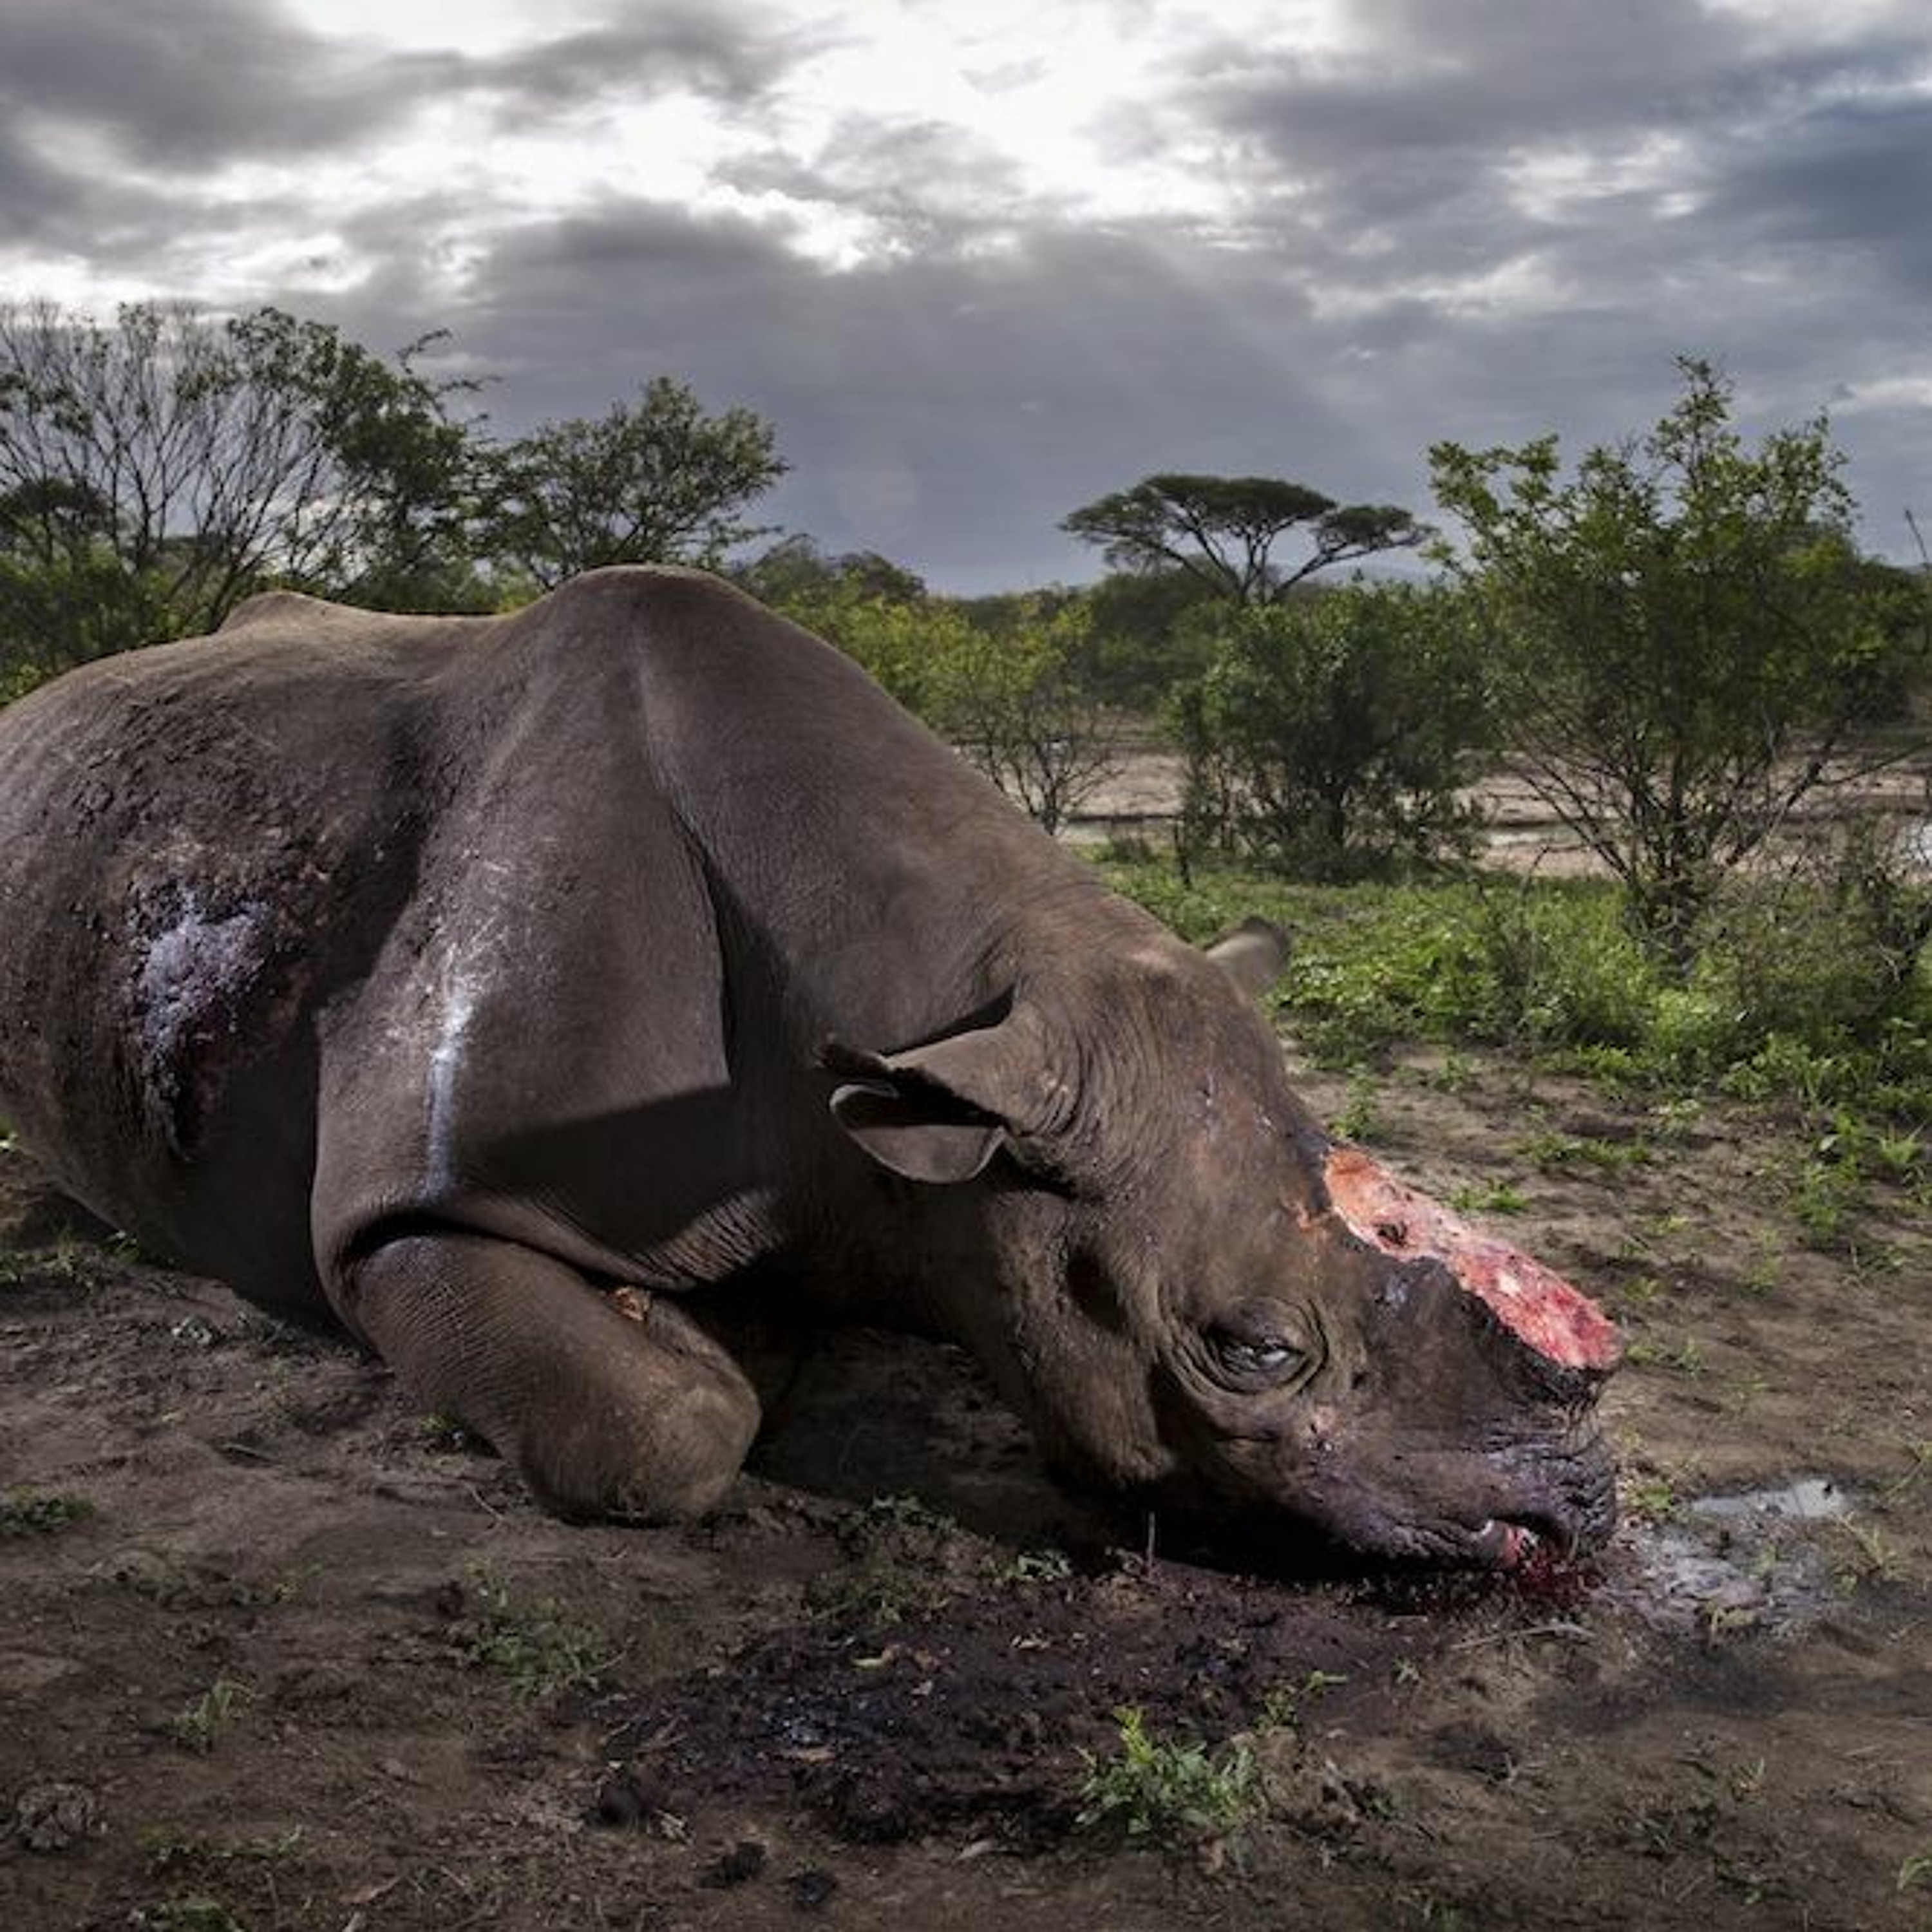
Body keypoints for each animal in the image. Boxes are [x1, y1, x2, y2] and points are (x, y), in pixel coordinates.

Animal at [0, 567, 1618, 1565]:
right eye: (1253, 1350)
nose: (1576, 1513)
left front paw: (727, 1318)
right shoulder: (406, 1211)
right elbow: (665, 1429)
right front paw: (693, 1351)